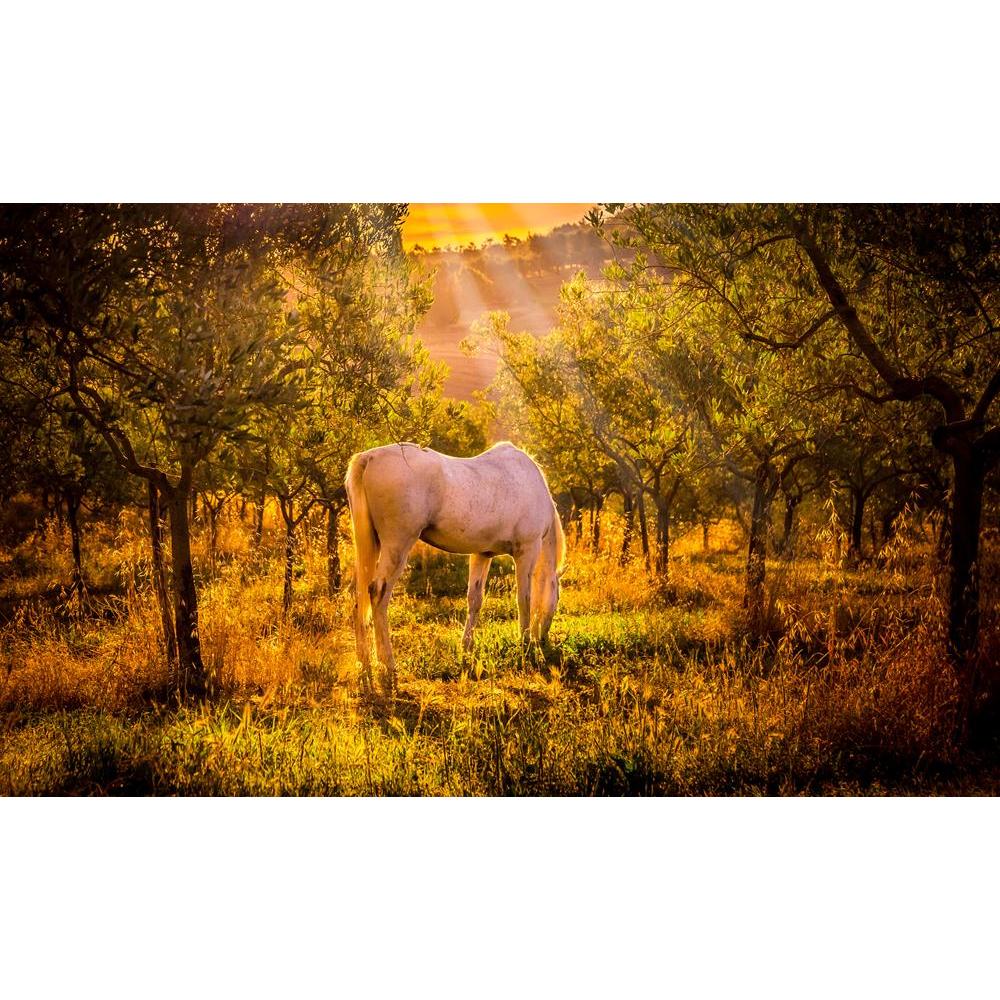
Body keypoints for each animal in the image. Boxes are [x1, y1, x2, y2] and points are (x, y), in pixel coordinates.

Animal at [345, 441, 565, 693]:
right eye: (558, 598)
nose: (544, 642)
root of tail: (369, 458)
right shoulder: (527, 551)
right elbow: (525, 600)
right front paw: (526, 647)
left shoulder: (482, 554)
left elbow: (475, 600)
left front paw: (467, 650)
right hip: (397, 545)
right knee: (378, 594)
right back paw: (389, 669)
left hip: (370, 545)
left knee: (359, 596)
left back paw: (365, 670)